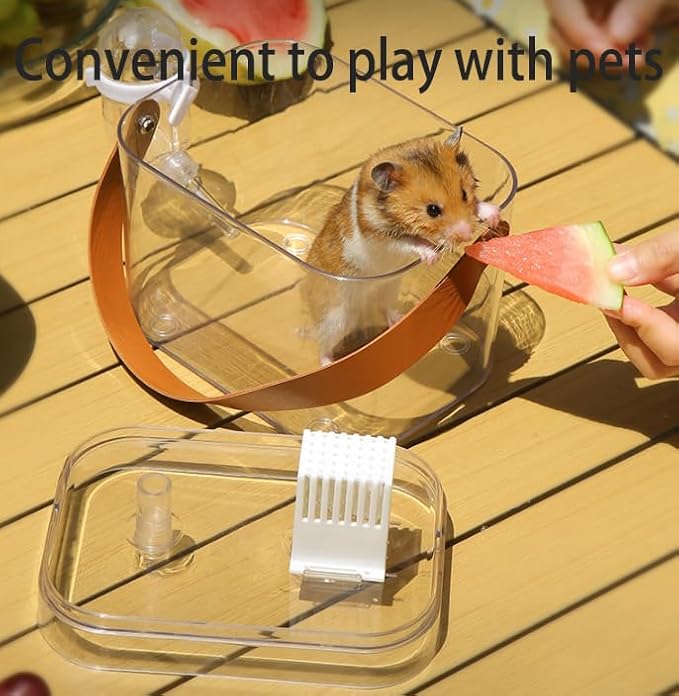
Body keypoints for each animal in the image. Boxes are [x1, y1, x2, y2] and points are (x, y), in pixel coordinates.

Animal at [302, 126, 501, 365]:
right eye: (432, 210)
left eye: (464, 193)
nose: (467, 235)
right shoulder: (385, 239)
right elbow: (413, 241)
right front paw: (433, 257)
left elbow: (477, 206)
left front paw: (494, 216)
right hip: (336, 317)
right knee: (323, 344)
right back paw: (329, 362)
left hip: (387, 290)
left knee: (384, 309)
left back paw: (398, 320)